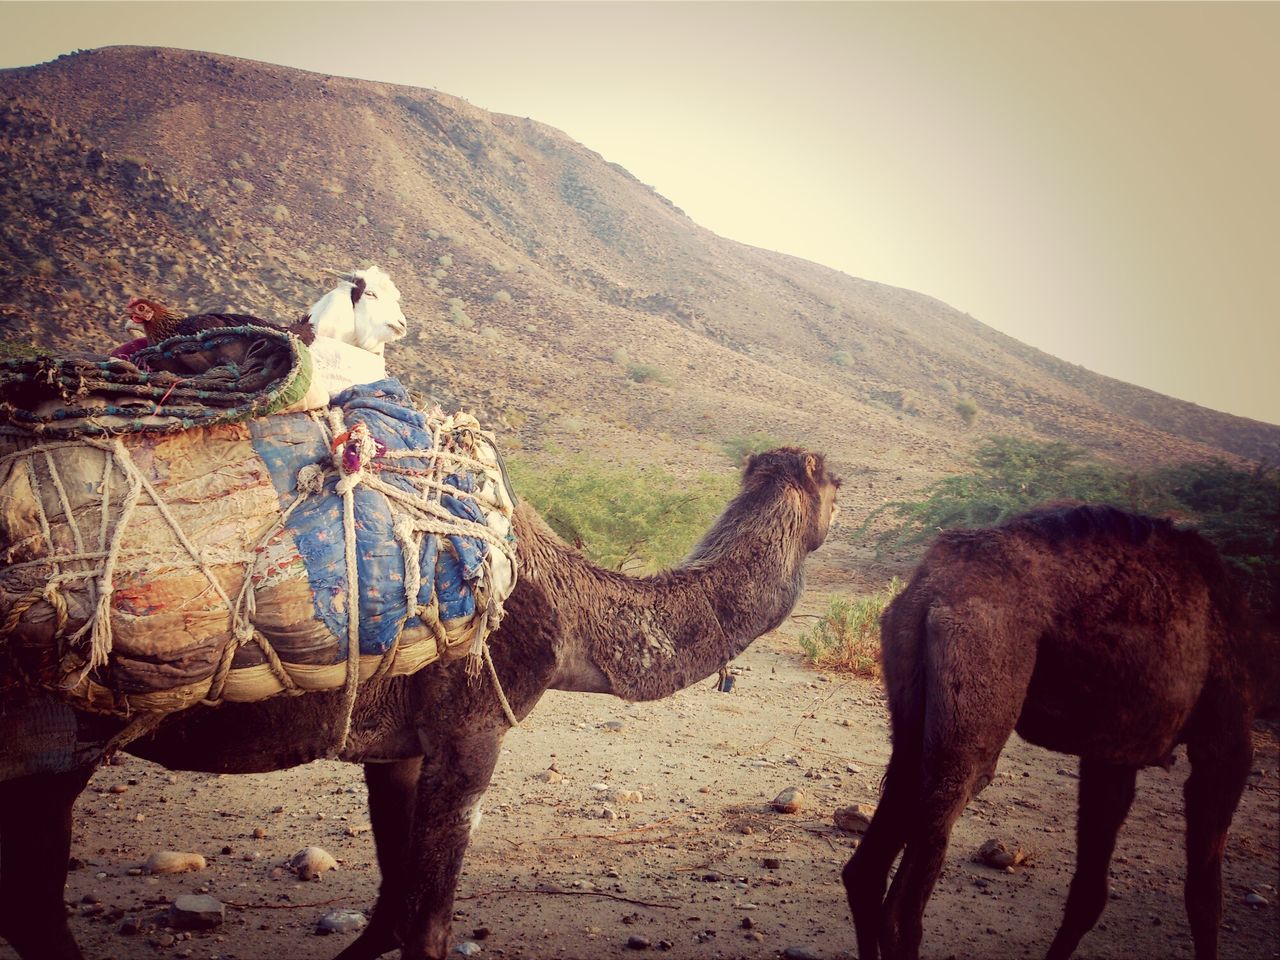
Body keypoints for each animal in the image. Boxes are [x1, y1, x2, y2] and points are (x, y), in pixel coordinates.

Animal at [0, 445, 844, 960]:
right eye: (837, 483)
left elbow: (392, 902)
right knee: (35, 901)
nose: (846, 498)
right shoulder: (472, 729)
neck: (570, 615)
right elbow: (428, 918)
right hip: (52, 742)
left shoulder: (396, 746)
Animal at [844, 504, 1274, 960]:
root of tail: (929, 588)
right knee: (907, 905)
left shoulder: (1113, 756)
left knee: (867, 868)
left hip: (911, 702)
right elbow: (1205, 898)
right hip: (975, 700)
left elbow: (1089, 893)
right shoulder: (1226, 743)